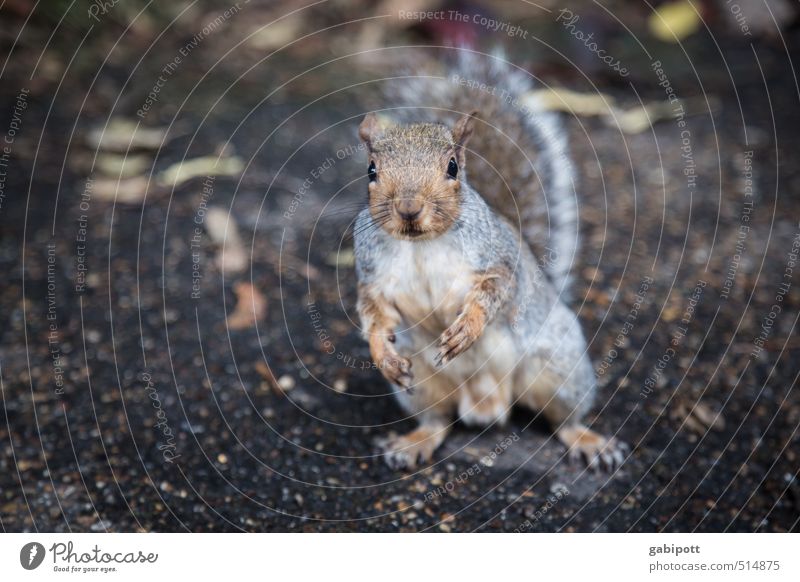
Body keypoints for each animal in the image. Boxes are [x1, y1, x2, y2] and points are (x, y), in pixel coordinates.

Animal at [354, 51, 624, 474]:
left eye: (452, 166)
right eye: (371, 170)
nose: (409, 209)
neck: (421, 244)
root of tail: (487, 404)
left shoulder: (497, 258)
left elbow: (496, 289)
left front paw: (468, 327)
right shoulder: (372, 276)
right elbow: (374, 313)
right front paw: (383, 353)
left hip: (558, 366)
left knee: (564, 418)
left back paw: (589, 440)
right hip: (423, 385)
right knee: (438, 420)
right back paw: (415, 441)